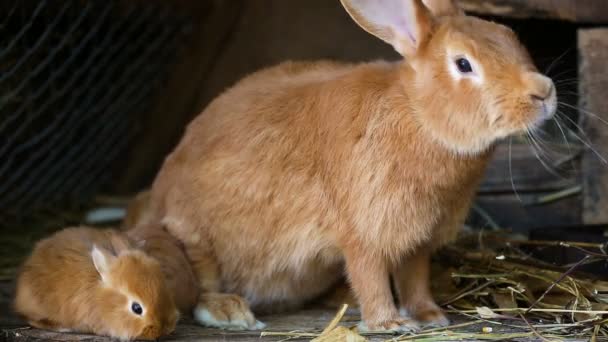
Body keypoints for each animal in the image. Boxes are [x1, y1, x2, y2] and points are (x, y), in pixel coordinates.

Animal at [145, 0, 552, 334]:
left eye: (510, 36)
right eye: (463, 64)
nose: (544, 92)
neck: (418, 114)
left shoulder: (417, 240)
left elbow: (415, 278)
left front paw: (430, 315)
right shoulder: (363, 228)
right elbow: (369, 275)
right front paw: (389, 323)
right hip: (193, 239)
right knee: (200, 283)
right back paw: (229, 312)